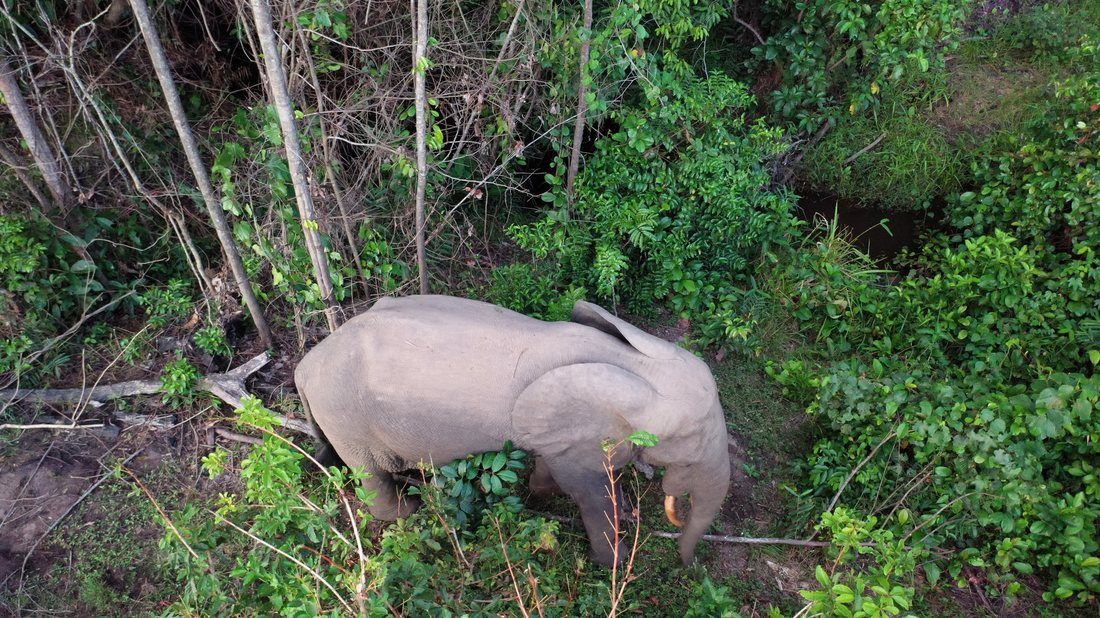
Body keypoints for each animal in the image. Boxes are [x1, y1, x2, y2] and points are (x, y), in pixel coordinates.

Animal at [294, 294, 731, 566]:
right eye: (689, 443)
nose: (687, 566)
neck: (632, 365)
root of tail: (305, 365)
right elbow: (590, 493)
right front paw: (616, 563)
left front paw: (540, 493)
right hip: (345, 417)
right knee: (371, 473)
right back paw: (409, 510)